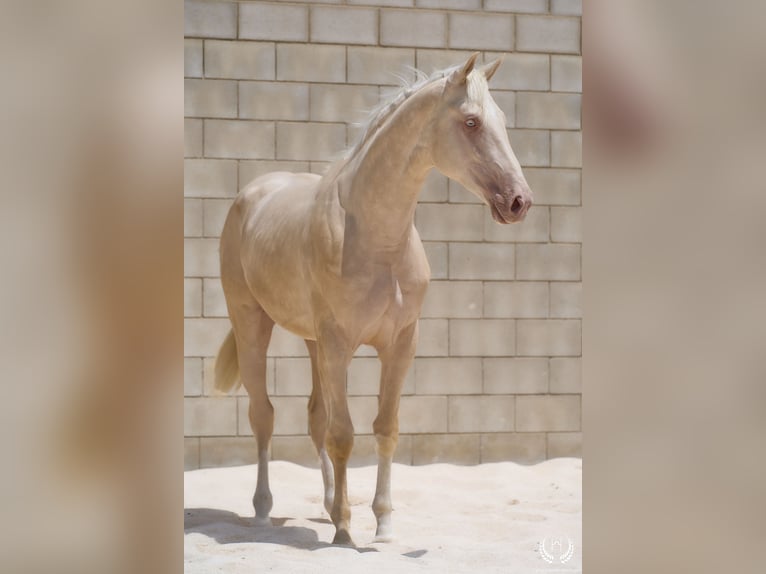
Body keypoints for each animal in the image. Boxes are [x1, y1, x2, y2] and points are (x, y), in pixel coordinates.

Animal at [213, 52, 533, 546]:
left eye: (500, 119)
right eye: (471, 121)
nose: (519, 201)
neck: (375, 239)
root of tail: (253, 194)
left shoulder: (399, 345)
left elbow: (385, 429)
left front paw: (381, 523)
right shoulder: (340, 344)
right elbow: (344, 434)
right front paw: (346, 530)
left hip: (313, 344)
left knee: (314, 416)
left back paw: (326, 506)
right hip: (254, 325)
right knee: (263, 415)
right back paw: (265, 511)